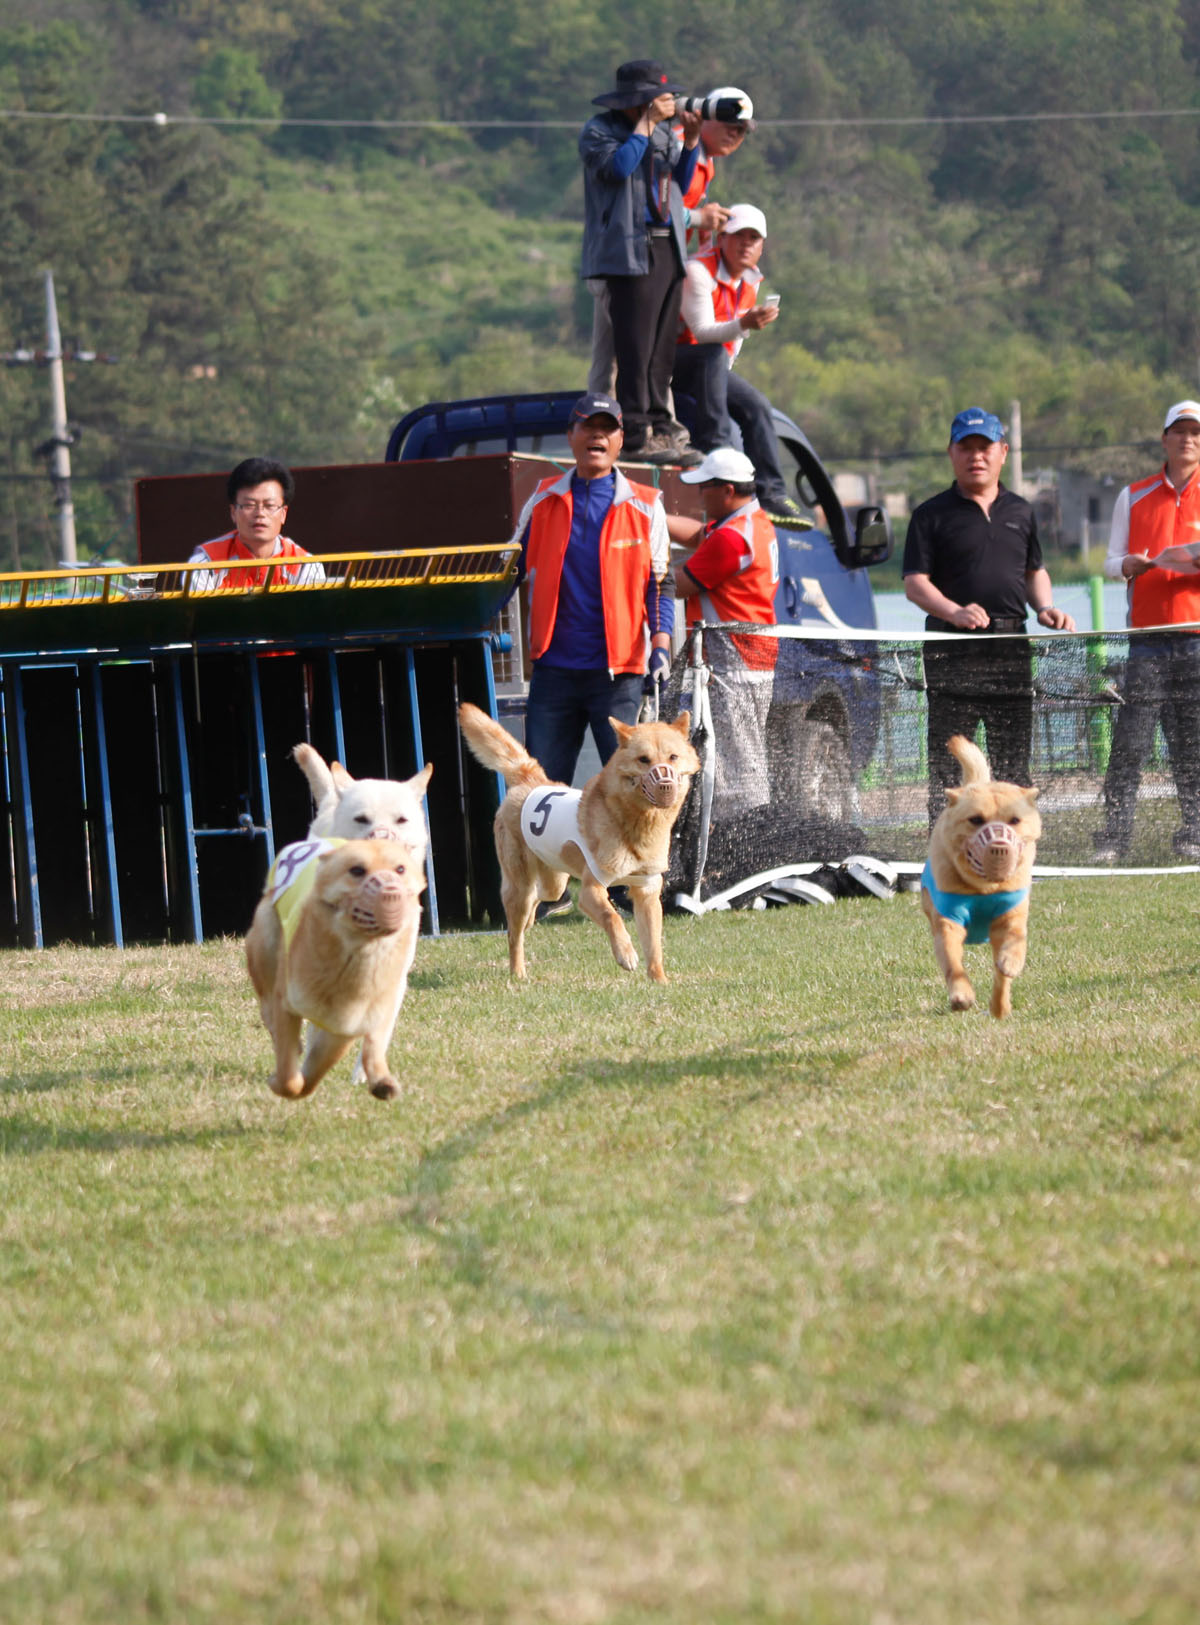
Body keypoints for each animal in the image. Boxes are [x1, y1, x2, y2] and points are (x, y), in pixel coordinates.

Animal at [243, 838, 426, 1105]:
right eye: (356, 870)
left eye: (400, 869)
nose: (390, 889)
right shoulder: (288, 1003)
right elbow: (289, 1075)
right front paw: (280, 1082)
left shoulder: (347, 1026)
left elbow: (317, 1068)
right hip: (266, 945)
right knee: (267, 1005)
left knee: (373, 1045)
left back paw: (381, 1082)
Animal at [458, 698, 702, 975]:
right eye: (643, 759)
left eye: (673, 757)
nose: (665, 785)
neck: (634, 823)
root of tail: (529, 777)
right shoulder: (591, 889)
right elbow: (611, 916)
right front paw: (626, 954)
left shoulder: (647, 892)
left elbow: (654, 948)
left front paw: (659, 980)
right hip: (522, 882)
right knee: (515, 931)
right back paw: (518, 972)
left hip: (555, 880)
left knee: (537, 899)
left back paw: (531, 919)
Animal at [917, 737, 1040, 1014]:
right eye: (975, 819)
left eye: (1015, 820)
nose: (999, 846)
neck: (984, 889)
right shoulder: (948, 921)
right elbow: (953, 964)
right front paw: (961, 995)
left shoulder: (1011, 914)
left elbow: (1011, 950)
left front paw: (1008, 973)